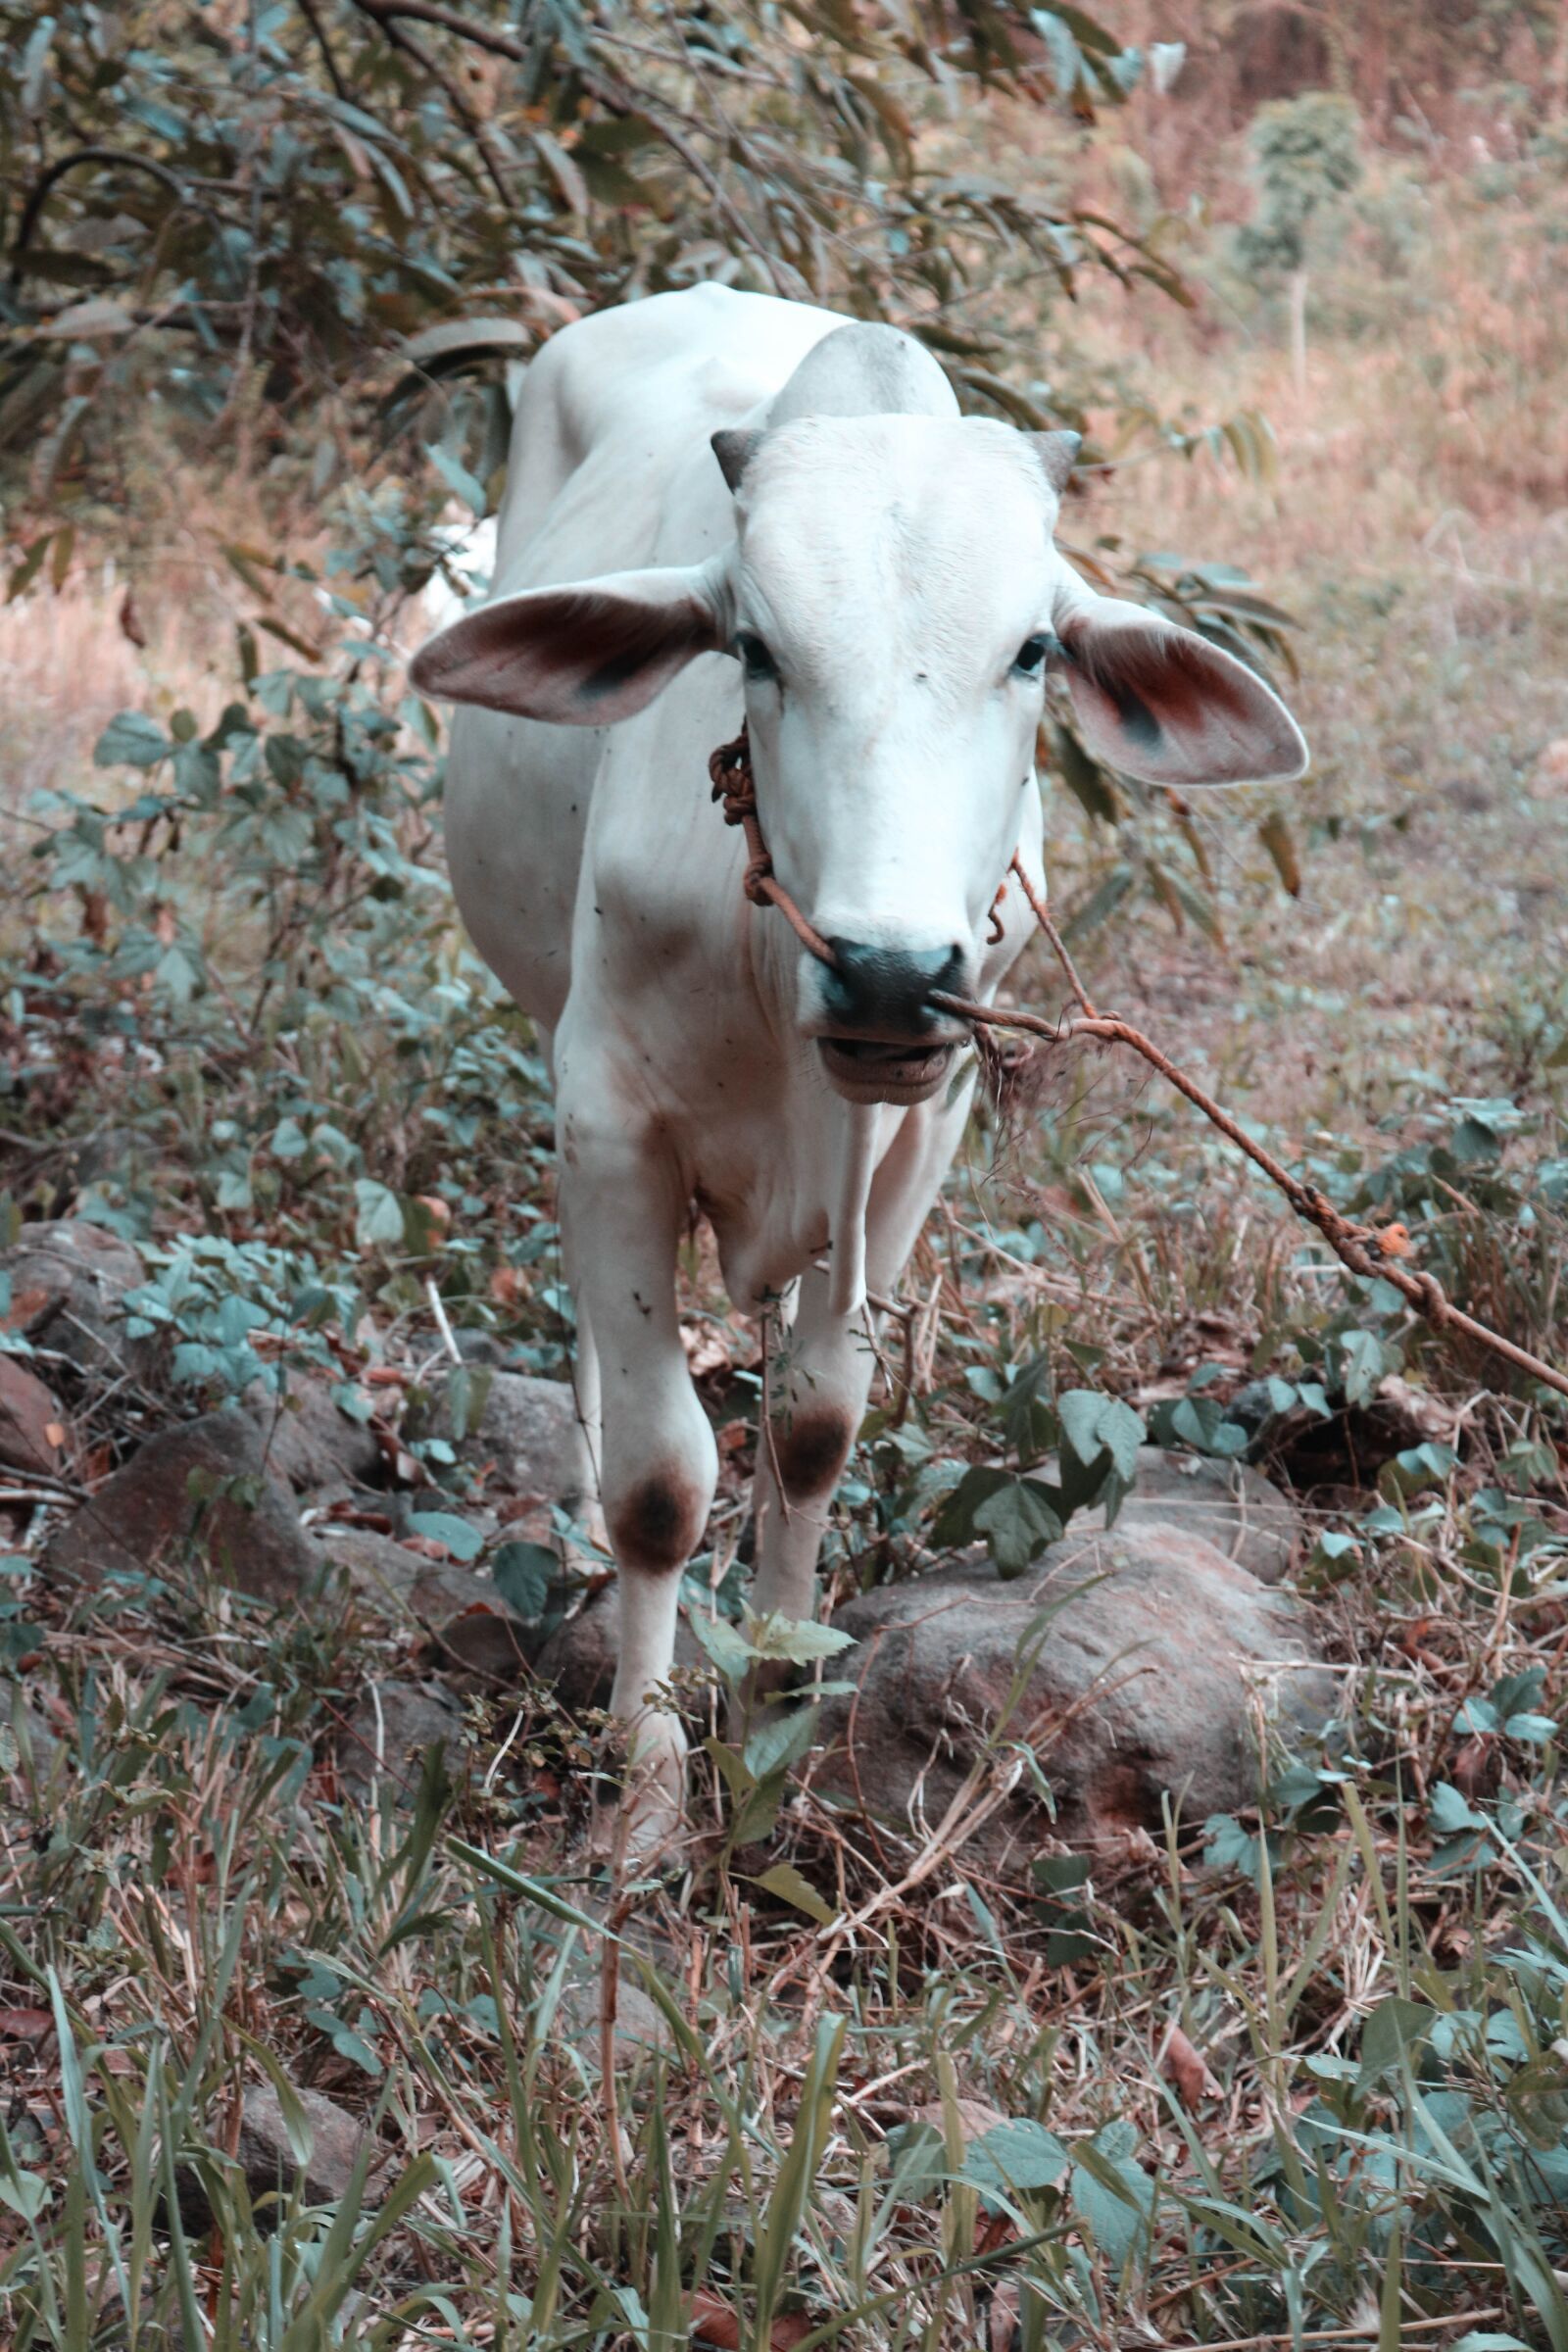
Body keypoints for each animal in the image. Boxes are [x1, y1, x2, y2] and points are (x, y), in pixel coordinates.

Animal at [410, 285, 1307, 1832]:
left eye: (1033, 651)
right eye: (756, 648)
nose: (888, 970)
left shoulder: (914, 1129)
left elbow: (813, 1428)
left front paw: (770, 1704)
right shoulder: (608, 1116)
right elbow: (662, 1480)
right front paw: (644, 1797)